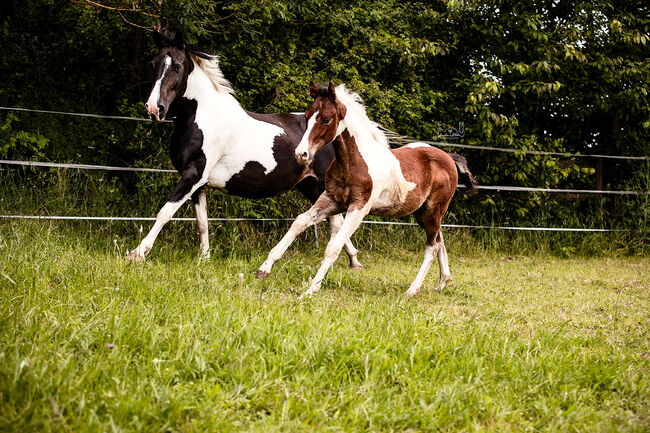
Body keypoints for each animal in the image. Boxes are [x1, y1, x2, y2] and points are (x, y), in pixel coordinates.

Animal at [126, 29, 360, 266]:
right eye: (154, 63)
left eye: (178, 65)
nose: (154, 108)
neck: (203, 119)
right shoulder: (198, 184)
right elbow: (202, 222)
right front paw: (204, 258)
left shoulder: (193, 174)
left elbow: (165, 212)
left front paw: (137, 253)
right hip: (311, 186)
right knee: (335, 221)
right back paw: (353, 261)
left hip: (322, 185)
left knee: (338, 222)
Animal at [256, 82, 474, 296]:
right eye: (307, 116)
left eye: (326, 119)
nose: (301, 154)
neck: (354, 161)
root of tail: (449, 158)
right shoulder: (332, 200)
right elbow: (299, 222)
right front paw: (264, 269)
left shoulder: (359, 207)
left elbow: (333, 246)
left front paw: (312, 288)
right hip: (425, 213)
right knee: (440, 240)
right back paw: (442, 282)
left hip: (431, 211)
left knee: (432, 246)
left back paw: (413, 289)